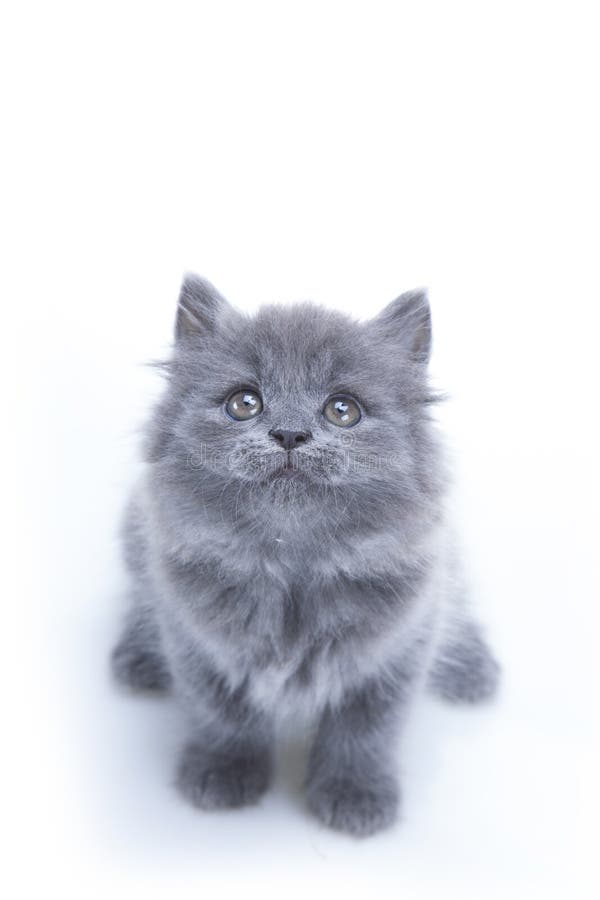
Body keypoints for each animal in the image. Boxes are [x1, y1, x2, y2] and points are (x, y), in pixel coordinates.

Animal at [110, 276, 500, 836]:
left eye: (343, 409)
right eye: (244, 403)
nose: (290, 433)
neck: (290, 569)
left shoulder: (397, 647)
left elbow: (365, 734)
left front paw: (357, 797)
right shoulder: (197, 641)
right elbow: (222, 717)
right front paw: (223, 774)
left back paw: (474, 670)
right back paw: (137, 659)